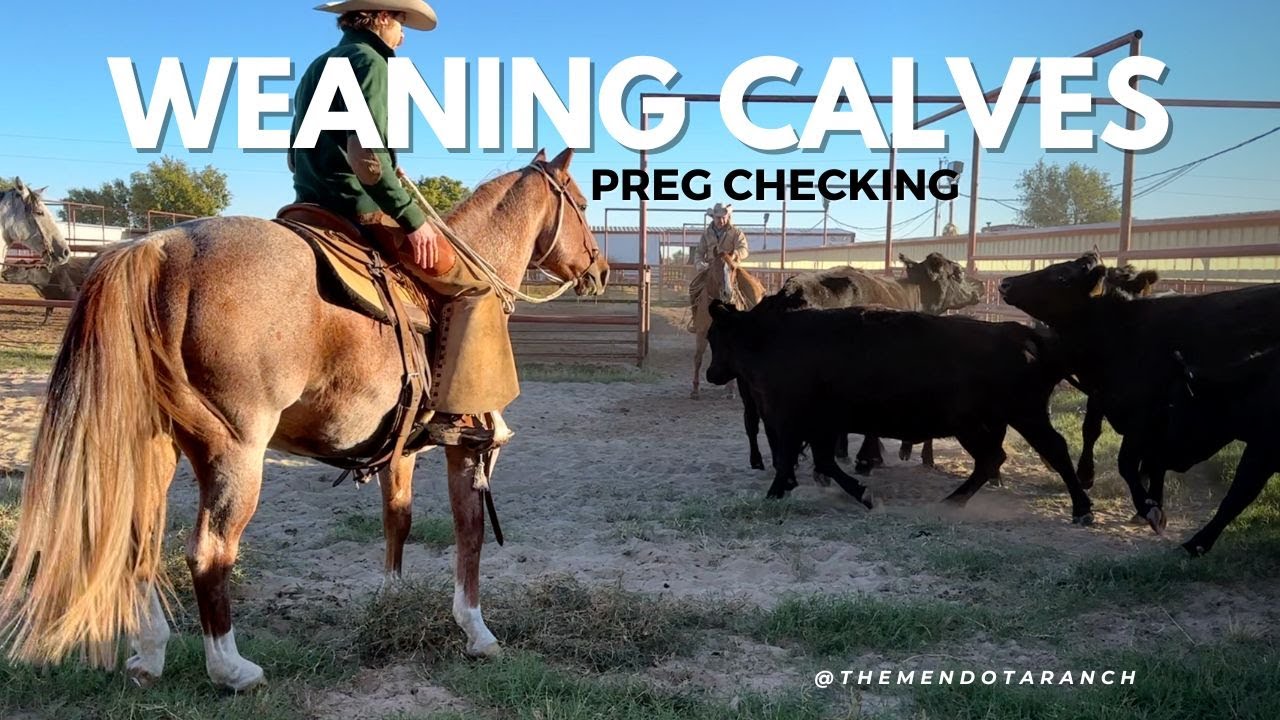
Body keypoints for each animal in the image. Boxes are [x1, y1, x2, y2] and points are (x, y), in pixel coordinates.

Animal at [0, 149, 608, 692]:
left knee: (136, 542)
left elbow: (398, 520)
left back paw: (150, 653)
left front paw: (391, 597)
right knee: (209, 551)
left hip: (154, 446)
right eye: (581, 203)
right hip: (234, 452)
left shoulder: (402, 450)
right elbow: (471, 533)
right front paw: (477, 632)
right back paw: (231, 669)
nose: (600, 268)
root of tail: (161, 247)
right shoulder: (470, 447)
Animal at [690, 253, 765, 399]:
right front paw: (695, 390)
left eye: (733, 268)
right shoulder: (702, 332)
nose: (727, 293)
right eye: (715, 267)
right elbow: (698, 358)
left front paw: (731, 390)